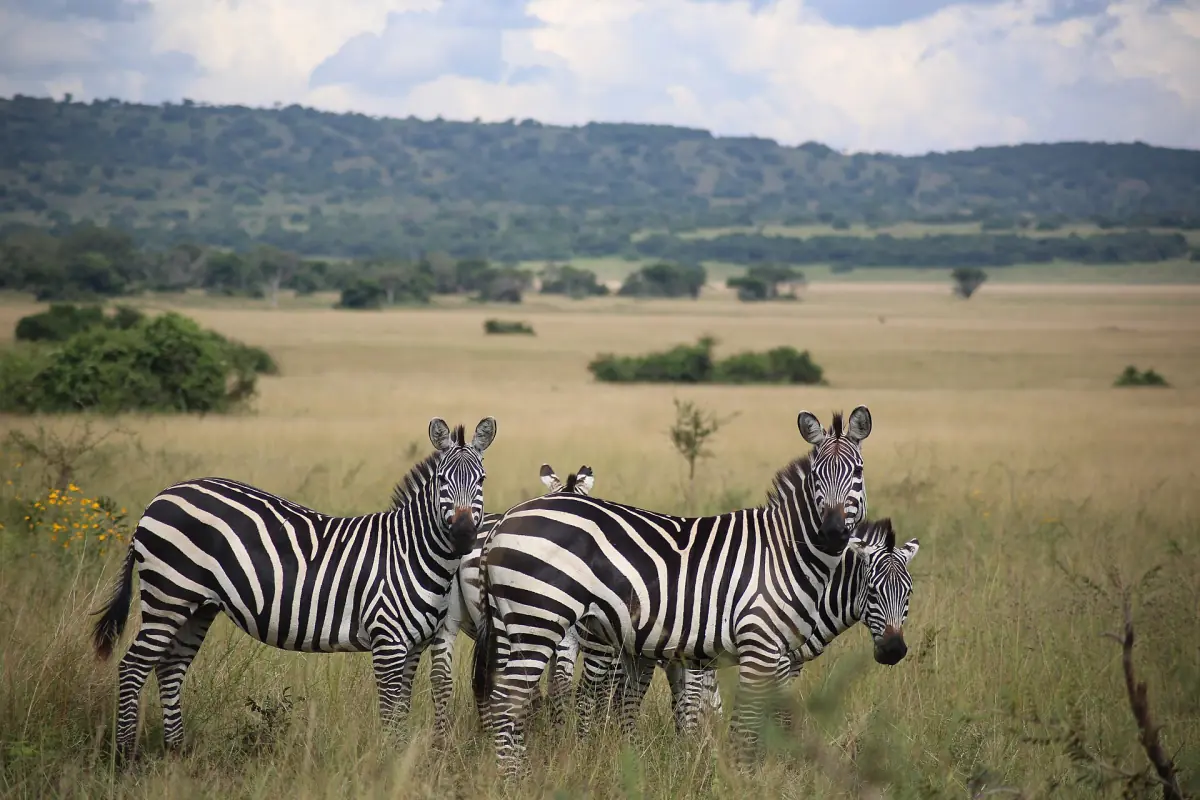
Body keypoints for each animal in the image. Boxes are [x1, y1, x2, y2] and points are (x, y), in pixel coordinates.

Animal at [90, 416, 497, 761]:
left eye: (481, 481)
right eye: (442, 481)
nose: (464, 535)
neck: (411, 551)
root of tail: (160, 497)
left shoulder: (413, 646)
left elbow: (401, 711)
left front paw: (398, 761)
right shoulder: (388, 642)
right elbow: (389, 711)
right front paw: (386, 762)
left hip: (197, 605)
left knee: (170, 667)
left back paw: (177, 754)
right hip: (168, 596)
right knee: (133, 665)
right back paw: (124, 758)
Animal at [472, 406, 873, 775]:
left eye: (858, 473)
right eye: (817, 476)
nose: (833, 532)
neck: (782, 550)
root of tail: (506, 519)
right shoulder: (759, 644)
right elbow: (746, 722)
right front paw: (742, 777)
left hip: (518, 621)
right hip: (538, 617)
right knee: (508, 700)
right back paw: (515, 779)